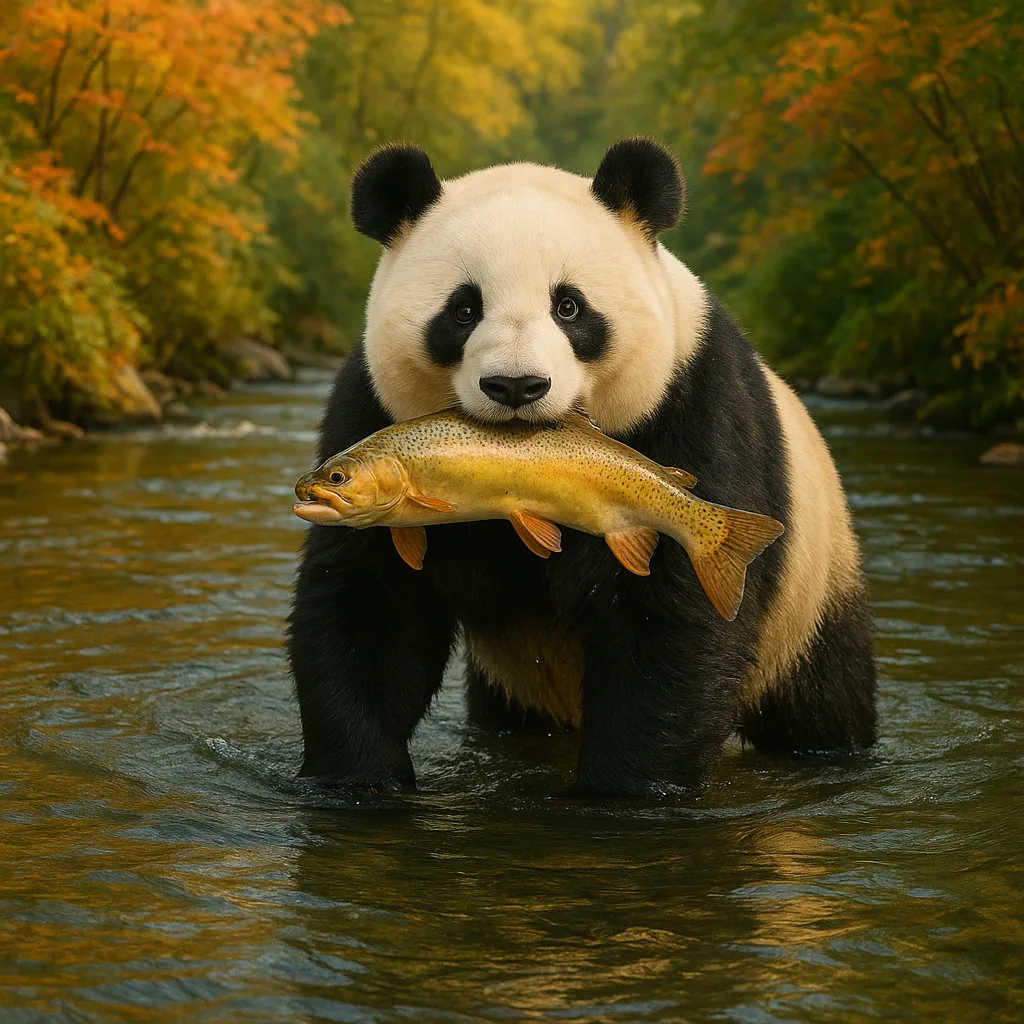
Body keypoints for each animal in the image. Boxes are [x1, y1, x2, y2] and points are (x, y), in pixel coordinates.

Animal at [287, 137, 876, 796]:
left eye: (569, 306)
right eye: (462, 311)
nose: (516, 386)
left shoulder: (699, 401)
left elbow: (672, 621)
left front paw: (623, 792)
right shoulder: (366, 407)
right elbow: (368, 604)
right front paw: (358, 782)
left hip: (813, 590)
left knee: (823, 695)